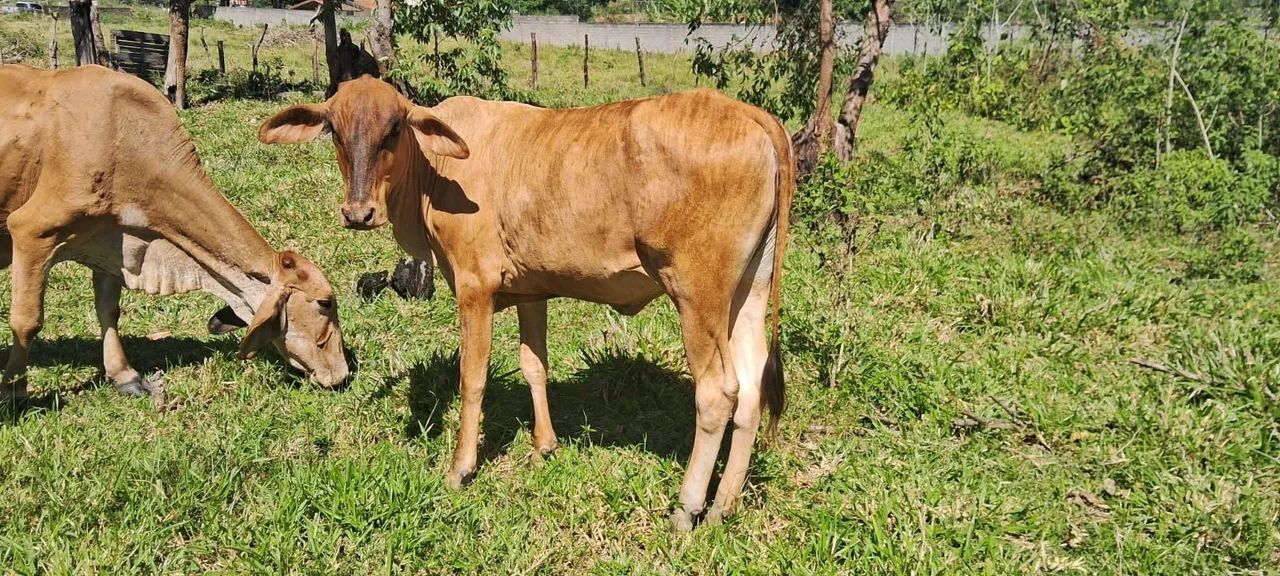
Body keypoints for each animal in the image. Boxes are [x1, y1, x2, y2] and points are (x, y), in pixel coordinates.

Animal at [0, 64, 349, 400]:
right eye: (324, 303)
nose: (343, 374)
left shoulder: (112, 243)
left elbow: (109, 311)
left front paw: (125, 377)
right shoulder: (32, 231)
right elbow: (27, 321)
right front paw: (13, 390)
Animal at [259, 78, 793, 530]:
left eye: (394, 129)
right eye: (333, 129)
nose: (358, 212)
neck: (436, 175)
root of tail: (750, 115)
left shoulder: (475, 286)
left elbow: (473, 379)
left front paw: (460, 468)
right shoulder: (530, 292)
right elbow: (535, 366)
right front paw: (543, 448)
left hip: (697, 292)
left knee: (718, 392)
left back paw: (688, 508)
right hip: (748, 290)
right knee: (751, 387)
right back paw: (723, 506)